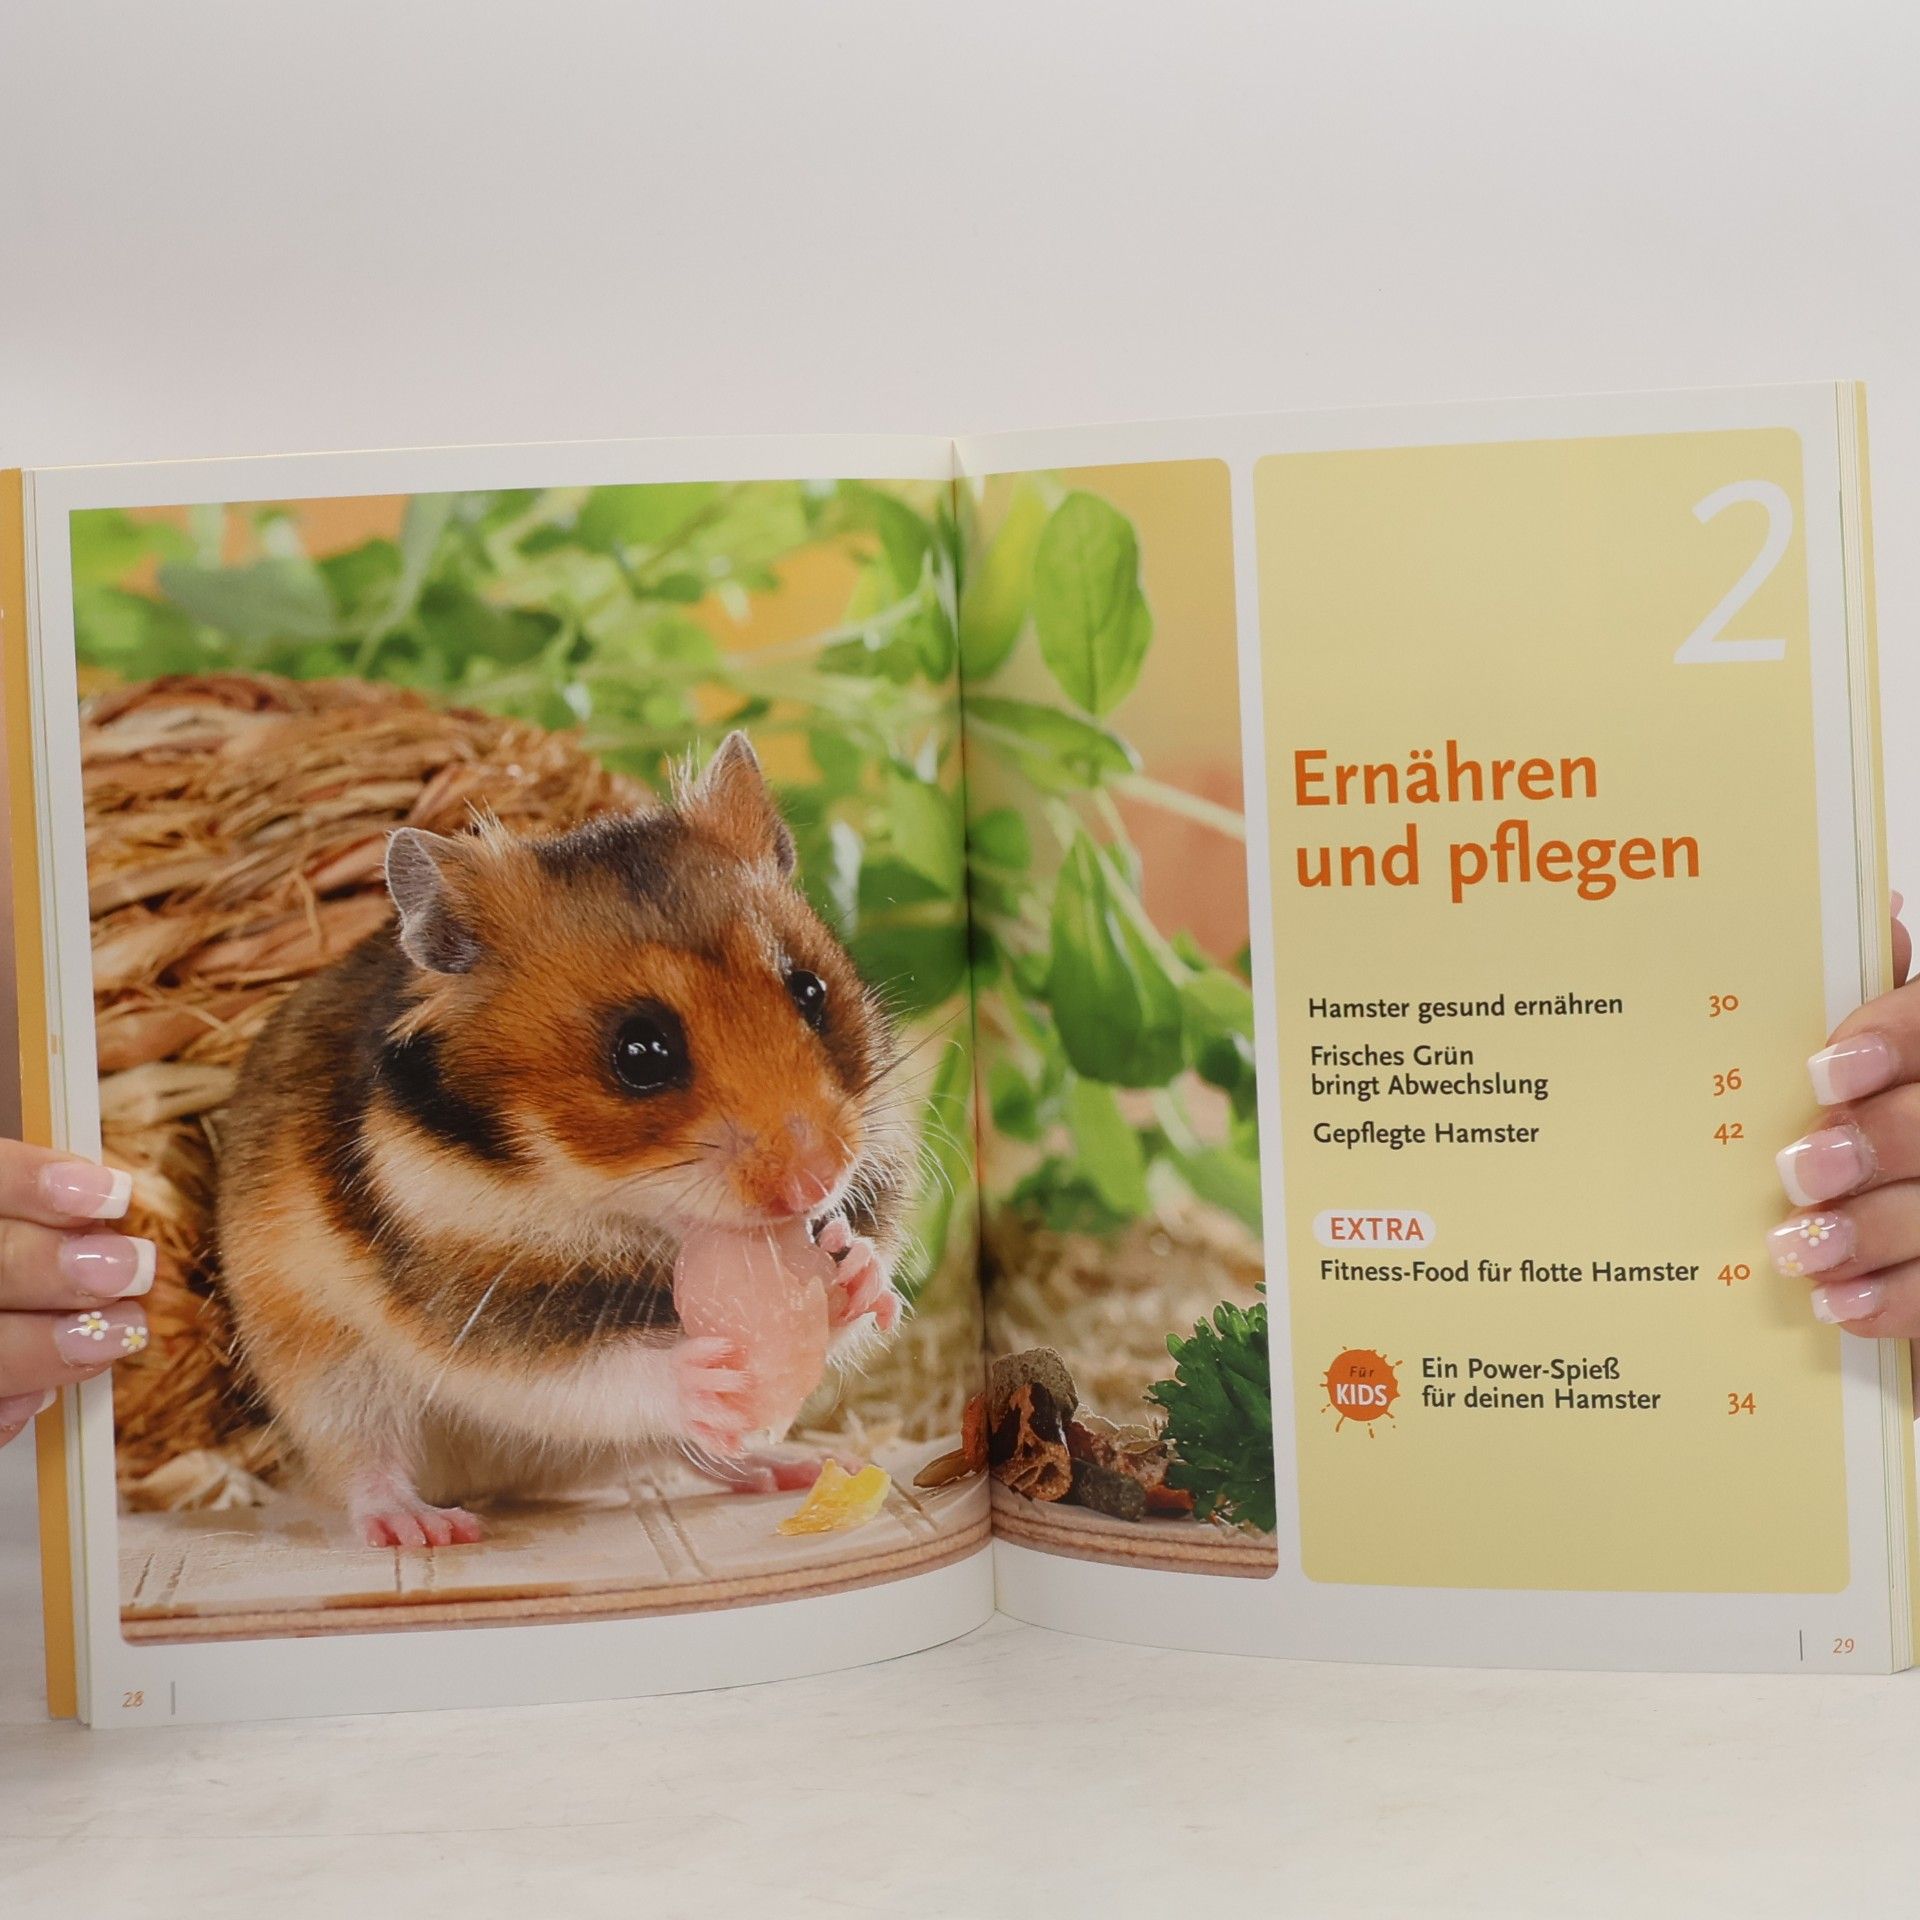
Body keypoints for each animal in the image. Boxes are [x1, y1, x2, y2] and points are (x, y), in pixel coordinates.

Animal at [216, 733, 915, 1548]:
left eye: (810, 992)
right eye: (640, 1052)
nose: (816, 1180)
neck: (618, 1209)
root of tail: (501, 1484)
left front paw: (856, 1272)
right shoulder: (486, 1313)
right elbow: (589, 1372)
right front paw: (707, 1372)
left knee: (699, 1455)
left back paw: (790, 1468)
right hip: (326, 1371)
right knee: (364, 1462)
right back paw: (426, 1528)